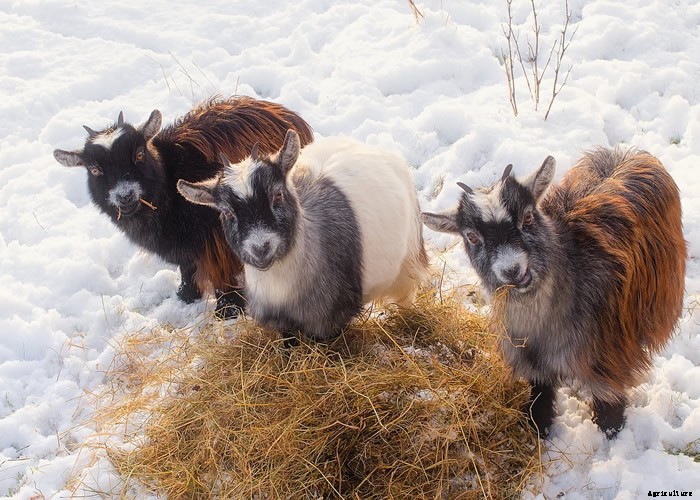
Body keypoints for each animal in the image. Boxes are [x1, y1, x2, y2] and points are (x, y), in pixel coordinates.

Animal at [53, 97, 314, 318]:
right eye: (95, 169)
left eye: (139, 154)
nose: (125, 196)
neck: (169, 187)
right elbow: (187, 267)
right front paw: (187, 295)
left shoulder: (217, 238)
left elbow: (222, 272)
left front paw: (228, 309)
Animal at [177, 129, 429, 341]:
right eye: (228, 212)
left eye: (277, 195)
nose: (260, 248)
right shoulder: (282, 322)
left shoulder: (330, 319)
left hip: (408, 261)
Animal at [422, 148, 686, 437]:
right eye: (471, 237)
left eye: (527, 217)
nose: (512, 270)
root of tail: (625, 153)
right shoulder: (533, 364)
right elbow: (540, 400)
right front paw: (540, 429)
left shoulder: (606, 359)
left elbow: (610, 409)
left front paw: (611, 435)